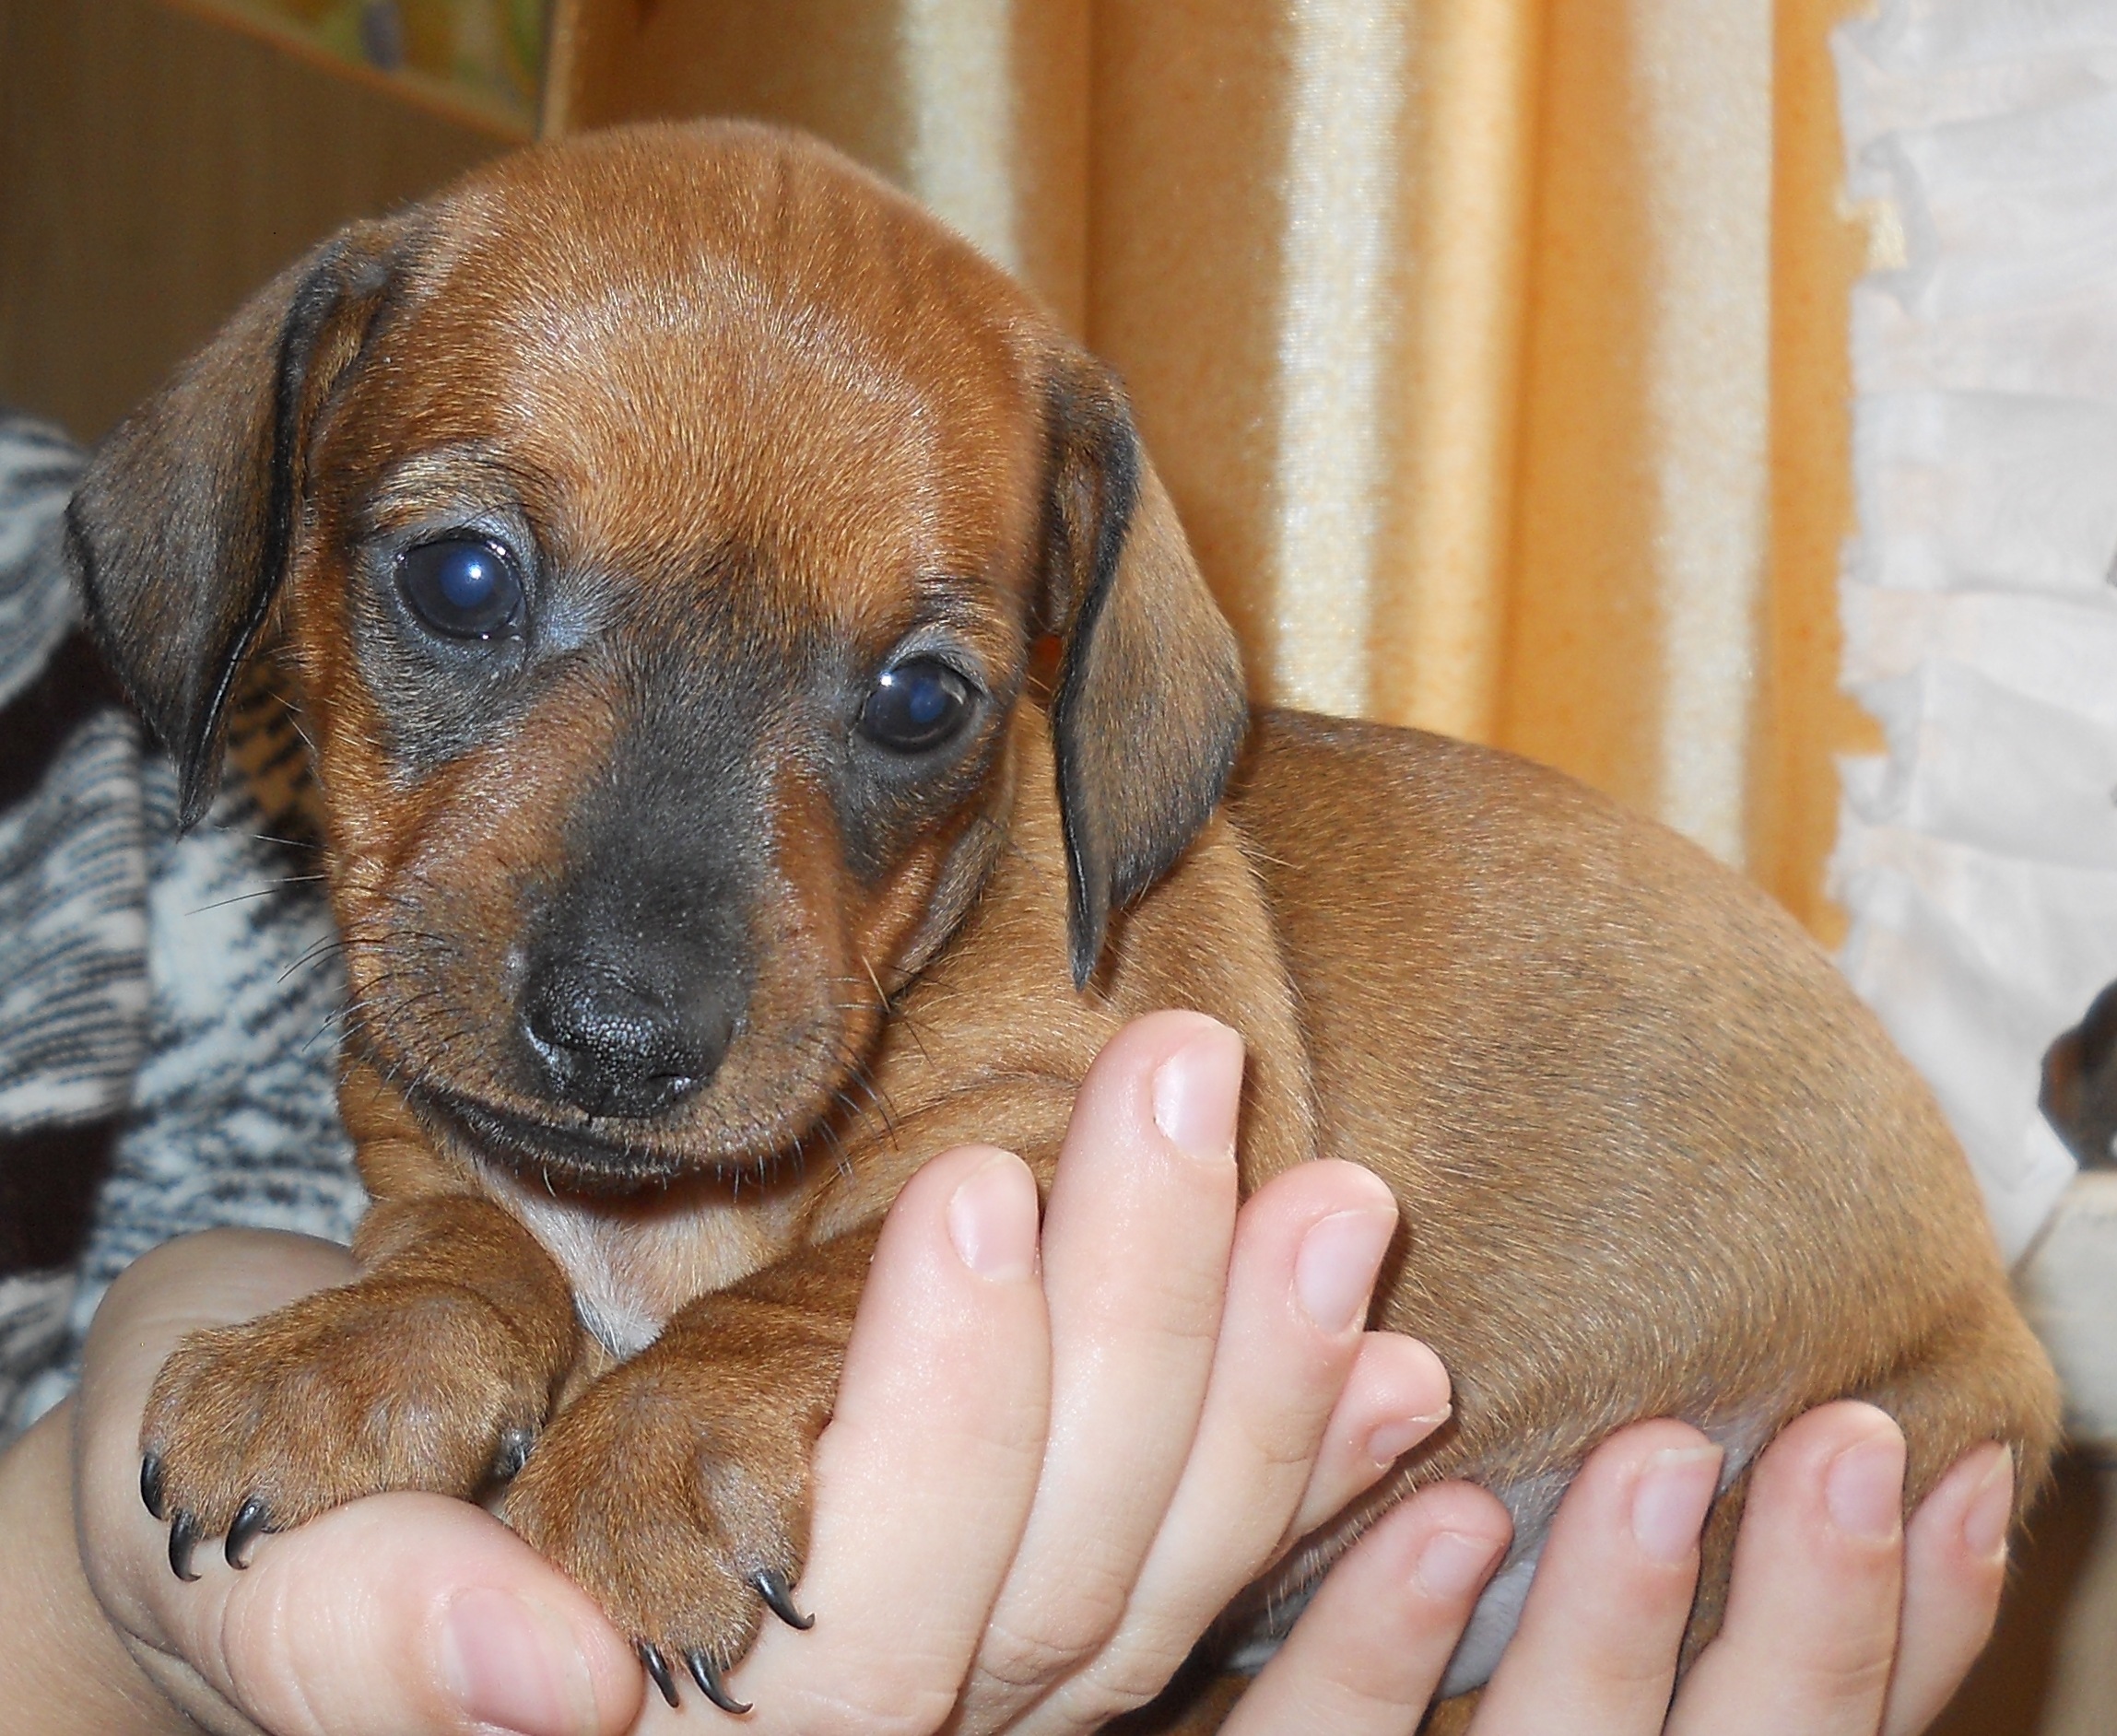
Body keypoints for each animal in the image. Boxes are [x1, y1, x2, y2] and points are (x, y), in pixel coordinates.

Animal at [69, 120, 2060, 1724]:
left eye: (921, 702)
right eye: (460, 577)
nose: (619, 1043)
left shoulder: (1076, 1142)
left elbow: (814, 1274)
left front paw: (652, 1438)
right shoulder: (423, 1142)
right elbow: (459, 1241)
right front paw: (343, 1348)